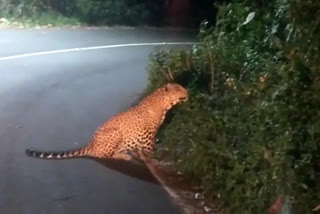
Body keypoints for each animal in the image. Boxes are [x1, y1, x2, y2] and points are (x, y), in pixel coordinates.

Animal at [26, 83, 189, 161]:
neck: (165, 105)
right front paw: (153, 159)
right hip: (115, 133)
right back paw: (124, 156)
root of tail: (91, 144)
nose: (188, 92)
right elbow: (149, 150)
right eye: (179, 89)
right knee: (105, 155)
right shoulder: (148, 134)